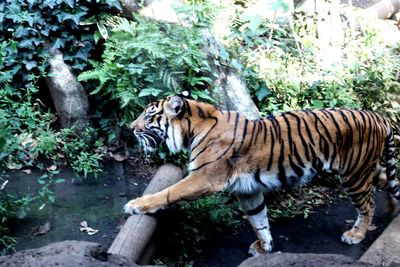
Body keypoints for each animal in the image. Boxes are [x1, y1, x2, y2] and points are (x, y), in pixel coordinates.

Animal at [123, 95, 398, 256]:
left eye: (149, 116)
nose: (131, 128)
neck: (193, 128)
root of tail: (378, 116)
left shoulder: (204, 178)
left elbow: (168, 193)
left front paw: (136, 205)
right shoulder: (248, 189)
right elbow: (259, 220)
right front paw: (265, 247)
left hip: (354, 174)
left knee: (367, 205)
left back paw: (356, 234)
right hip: (366, 169)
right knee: (388, 181)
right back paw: (393, 209)